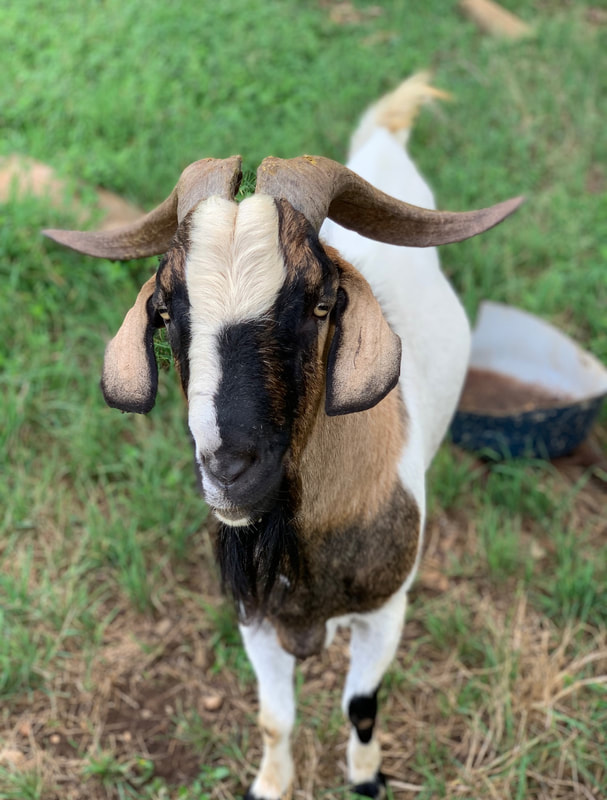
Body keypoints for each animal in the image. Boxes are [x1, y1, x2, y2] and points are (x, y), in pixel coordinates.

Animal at [43, 75, 522, 799]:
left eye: (321, 303)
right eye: (166, 309)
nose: (229, 470)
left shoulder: (386, 613)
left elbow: (360, 705)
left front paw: (366, 778)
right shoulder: (257, 621)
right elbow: (274, 719)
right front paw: (269, 784)